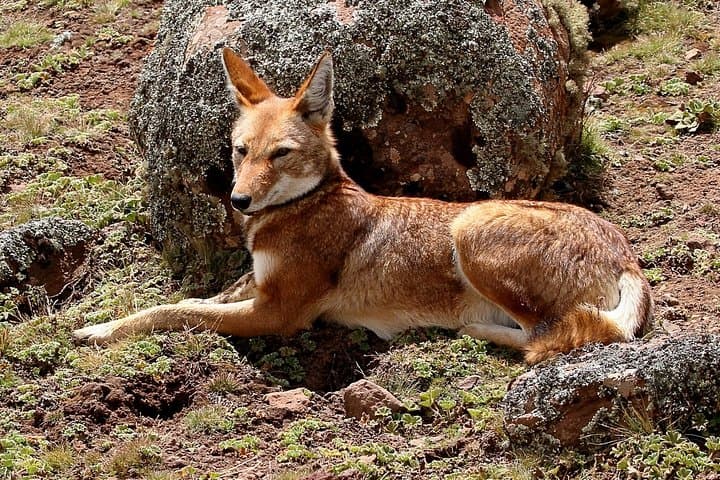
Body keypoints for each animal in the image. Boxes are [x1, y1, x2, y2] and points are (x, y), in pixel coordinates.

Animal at [73, 48, 652, 363]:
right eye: (241, 150)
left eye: (280, 154)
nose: (239, 199)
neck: (302, 207)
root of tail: (627, 256)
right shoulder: (256, 287)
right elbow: (196, 298)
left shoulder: (278, 313)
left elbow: (179, 310)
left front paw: (99, 331)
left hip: (470, 227)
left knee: (551, 336)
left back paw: (456, 328)